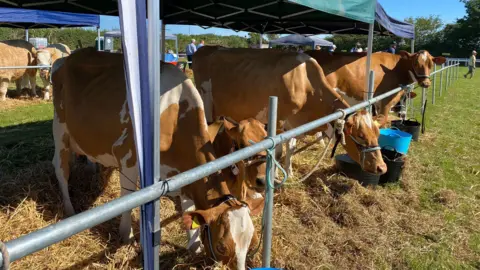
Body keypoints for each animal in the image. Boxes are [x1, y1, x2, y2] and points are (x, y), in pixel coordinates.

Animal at [52, 47, 266, 268]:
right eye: (222, 246)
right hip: (60, 131)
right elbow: (128, 197)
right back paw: (69, 210)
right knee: (60, 170)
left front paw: (194, 247)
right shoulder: (127, 155)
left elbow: (188, 209)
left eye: (251, 241)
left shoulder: (186, 173)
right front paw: (127, 236)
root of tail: (68, 58)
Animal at [193, 45, 388, 176]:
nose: (382, 167)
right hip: (206, 104)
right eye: (360, 136)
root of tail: (206, 48)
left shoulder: (293, 126)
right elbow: (278, 153)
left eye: (378, 134)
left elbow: (291, 149)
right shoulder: (278, 123)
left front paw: (290, 173)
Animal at [306, 50, 448, 122]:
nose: (426, 83)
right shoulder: (386, 101)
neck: (397, 68)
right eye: (415, 63)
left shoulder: (378, 103)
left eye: (431, 65)